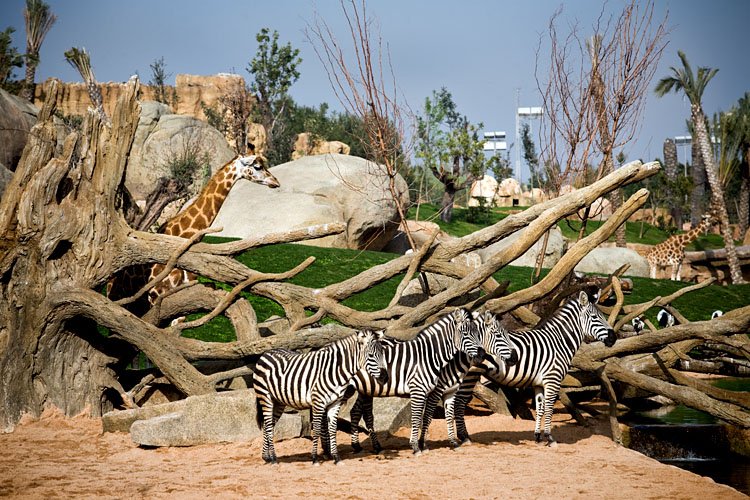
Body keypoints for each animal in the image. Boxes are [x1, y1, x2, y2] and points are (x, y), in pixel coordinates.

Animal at [256, 328, 390, 464]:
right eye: (371, 356)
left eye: (383, 354)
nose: (385, 377)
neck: (335, 371)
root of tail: (267, 352)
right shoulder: (318, 402)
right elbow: (317, 429)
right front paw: (315, 458)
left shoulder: (335, 403)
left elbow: (333, 429)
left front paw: (336, 457)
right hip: (265, 397)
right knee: (268, 426)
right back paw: (273, 458)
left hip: (278, 402)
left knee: (269, 425)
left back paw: (266, 457)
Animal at [346, 306, 488, 456]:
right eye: (465, 333)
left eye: (478, 333)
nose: (481, 355)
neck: (428, 356)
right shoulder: (421, 390)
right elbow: (419, 417)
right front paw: (416, 446)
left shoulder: (436, 391)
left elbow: (434, 416)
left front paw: (435, 443)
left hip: (364, 389)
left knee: (357, 412)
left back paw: (360, 446)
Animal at [452, 290, 616, 446]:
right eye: (595, 317)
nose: (613, 338)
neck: (559, 342)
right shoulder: (553, 379)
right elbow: (549, 407)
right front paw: (549, 437)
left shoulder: (539, 383)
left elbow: (540, 408)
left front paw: (538, 436)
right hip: (469, 375)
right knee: (459, 402)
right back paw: (464, 437)